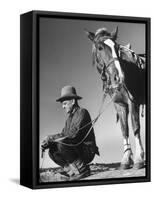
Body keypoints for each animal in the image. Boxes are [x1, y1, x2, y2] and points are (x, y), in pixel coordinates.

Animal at [85, 26, 146, 170]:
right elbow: (124, 129)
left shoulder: (133, 102)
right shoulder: (119, 105)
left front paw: (139, 159)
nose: (118, 77)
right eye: (100, 47)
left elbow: (135, 127)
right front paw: (126, 160)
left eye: (117, 47)